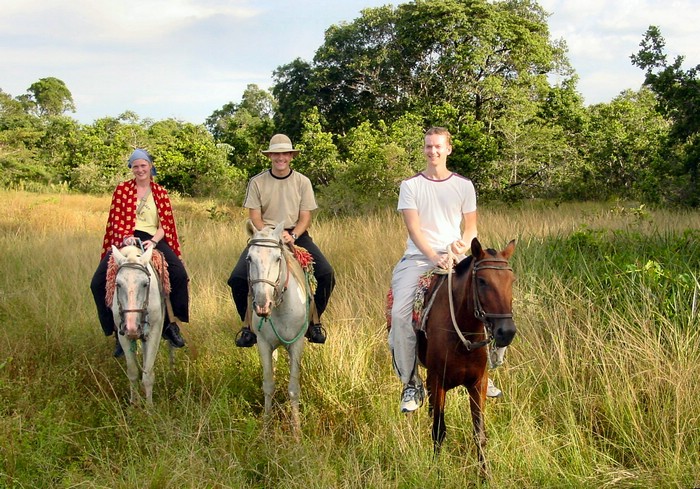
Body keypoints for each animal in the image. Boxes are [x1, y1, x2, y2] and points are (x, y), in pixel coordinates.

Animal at [112, 244, 167, 404]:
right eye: (118, 284)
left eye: (145, 284)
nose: (132, 328)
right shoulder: (123, 335)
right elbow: (132, 372)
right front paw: (134, 404)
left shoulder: (155, 332)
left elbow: (148, 375)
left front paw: (149, 408)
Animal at [246, 221, 312, 430]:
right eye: (249, 258)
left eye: (277, 258)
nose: (262, 304)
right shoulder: (264, 344)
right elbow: (268, 385)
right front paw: (266, 427)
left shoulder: (297, 345)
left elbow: (293, 388)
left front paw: (296, 430)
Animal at [416, 236, 516, 472]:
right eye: (482, 281)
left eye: (512, 280)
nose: (506, 332)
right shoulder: (438, 381)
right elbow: (438, 431)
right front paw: (436, 472)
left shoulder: (478, 383)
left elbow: (479, 434)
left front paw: (485, 474)